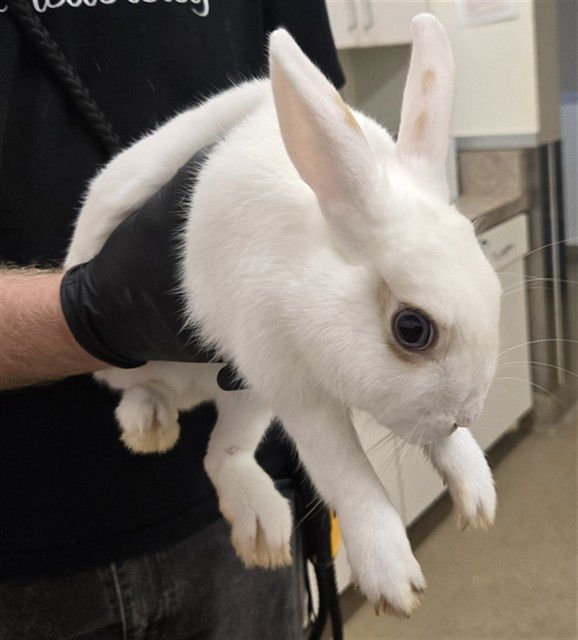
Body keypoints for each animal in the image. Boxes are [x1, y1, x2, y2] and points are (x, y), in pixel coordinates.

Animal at [65, 14, 501, 617]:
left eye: (493, 282)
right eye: (412, 329)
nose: (467, 415)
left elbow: (434, 444)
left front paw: (477, 494)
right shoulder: (291, 381)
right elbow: (344, 470)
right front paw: (392, 575)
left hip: (244, 392)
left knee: (222, 456)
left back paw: (261, 527)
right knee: (143, 392)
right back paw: (149, 424)